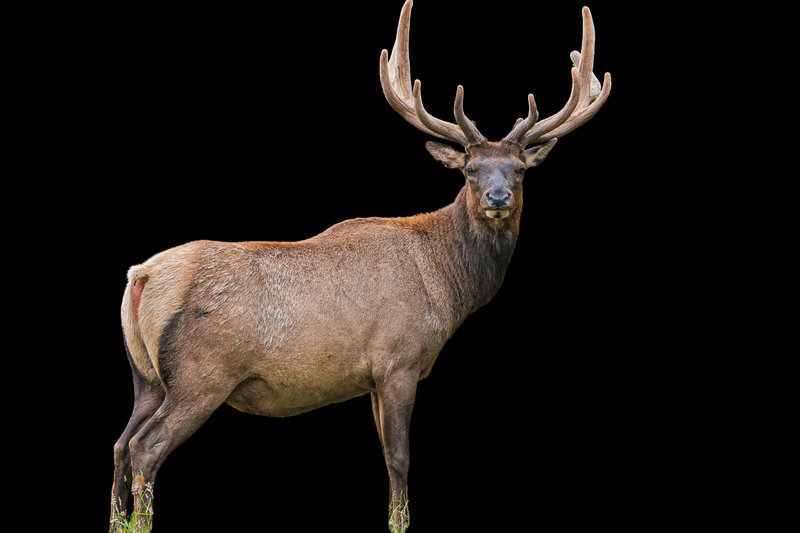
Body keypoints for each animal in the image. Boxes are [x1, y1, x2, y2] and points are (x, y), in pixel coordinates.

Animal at [109, 1, 611, 531]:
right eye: (470, 170)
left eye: (519, 170)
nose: (498, 197)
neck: (447, 288)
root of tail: (141, 276)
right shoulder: (399, 358)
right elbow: (399, 457)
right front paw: (400, 522)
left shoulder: (372, 375)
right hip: (199, 376)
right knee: (146, 446)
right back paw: (141, 519)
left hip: (146, 376)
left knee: (121, 443)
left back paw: (119, 519)